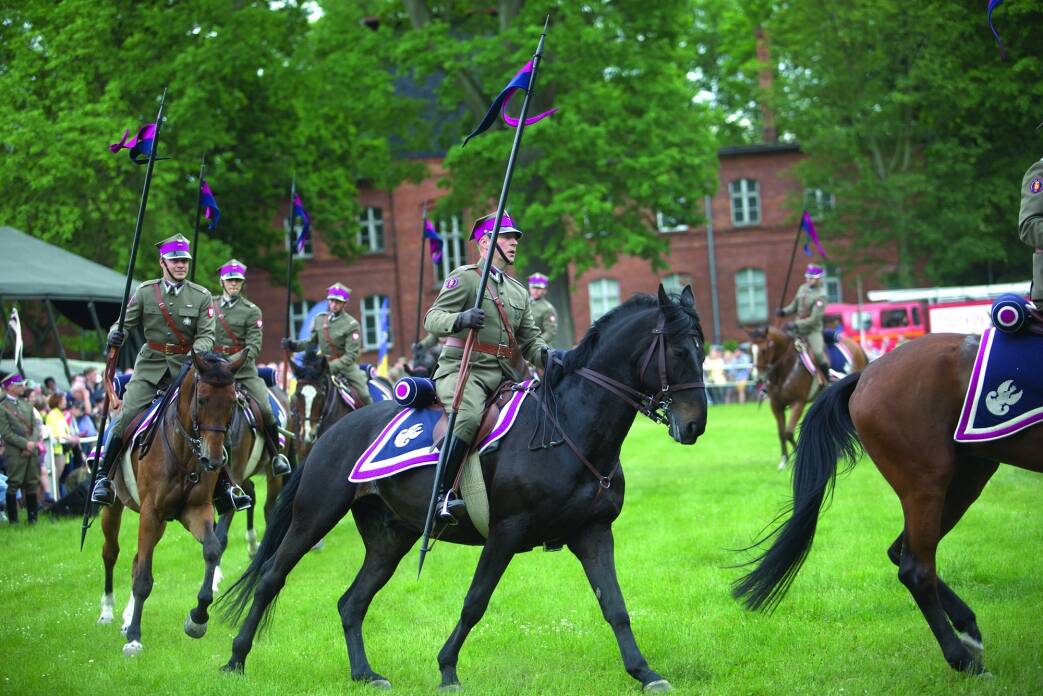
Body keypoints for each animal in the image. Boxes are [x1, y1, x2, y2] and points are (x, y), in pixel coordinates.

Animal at [95, 350, 244, 655]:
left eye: (232, 402)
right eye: (202, 399)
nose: (214, 459)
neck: (185, 452)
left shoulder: (196, 511)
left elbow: (212, 549)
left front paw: (198, 617)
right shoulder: (150, 513)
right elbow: (143, 579)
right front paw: (135, 638)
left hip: (160, 523)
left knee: (136, 559)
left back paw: (127, 617)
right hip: (114, 509)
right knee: (111, 552)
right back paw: (108, 611)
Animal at [220, 288, 709, 692]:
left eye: (702, 350)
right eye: (678, 349)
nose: (695, 425)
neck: (568, 428)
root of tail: (329, 434)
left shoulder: (592, 533)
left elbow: (615, 606)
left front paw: (644, 672)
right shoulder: (506, 532)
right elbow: (476, 601)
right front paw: (447, 669)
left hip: (390, 538)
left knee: (351, 602)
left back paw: (364, 673)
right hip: (313, 517)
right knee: (272, 576)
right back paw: (235, 660)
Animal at [755, 325, 867, 467]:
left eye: (764, 350)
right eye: (750, 350)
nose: (758, 379)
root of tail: (857, 346)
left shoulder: (798, 403)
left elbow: (788, 432)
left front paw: (798, 455)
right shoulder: (776, 406)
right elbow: (781, 433)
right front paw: (784, 460)